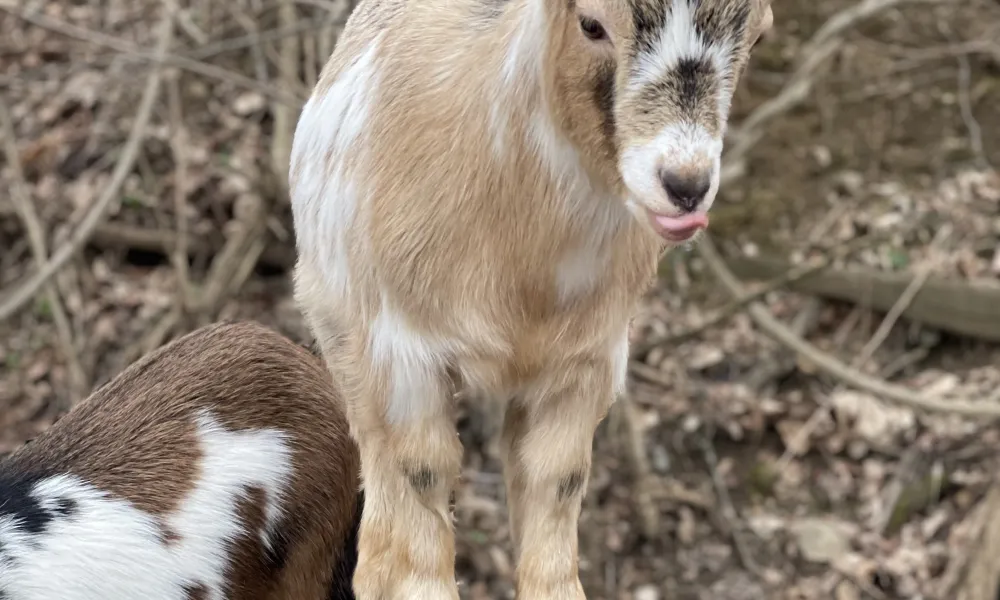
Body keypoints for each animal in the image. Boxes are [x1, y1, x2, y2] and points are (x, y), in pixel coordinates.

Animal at [290, 0, 774, 598]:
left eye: (757, 36)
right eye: (590, 24)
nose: (685, 184)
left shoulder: (586, 363)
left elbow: (556, 478)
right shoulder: (402, 351)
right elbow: (423, 475)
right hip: (339, 328)